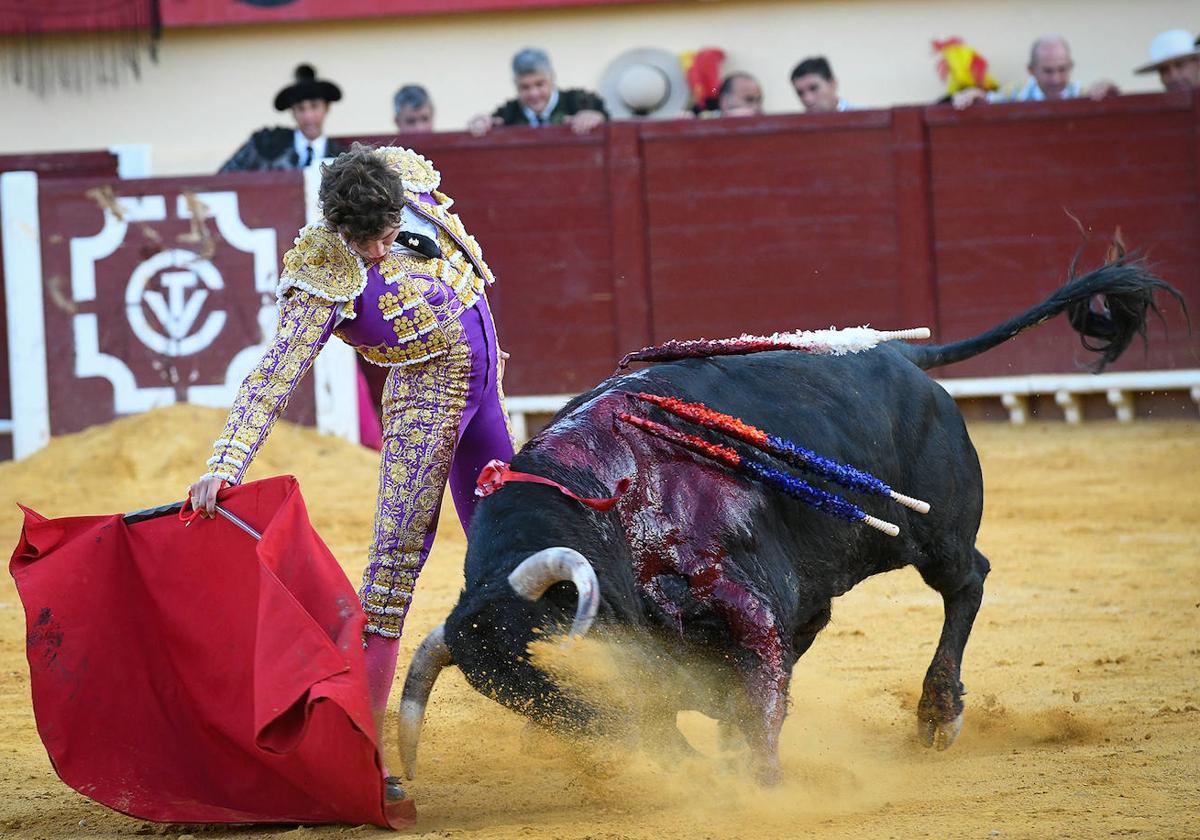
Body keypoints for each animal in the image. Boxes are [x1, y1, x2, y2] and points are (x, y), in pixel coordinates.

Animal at [393, 259, 1180, 782]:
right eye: (530, 705)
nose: (641, 756)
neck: (602, 497)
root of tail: (903, 355)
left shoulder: (746, 599)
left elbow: (756, 696)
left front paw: (758, 785)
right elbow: (723, 693)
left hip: (936, 533)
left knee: (967, 580)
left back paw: (937, 712)